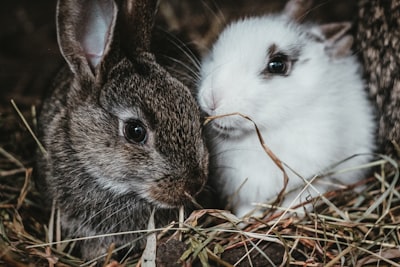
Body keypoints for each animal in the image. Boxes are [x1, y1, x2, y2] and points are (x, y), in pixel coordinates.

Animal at [198, 13, 376, 218]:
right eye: (215, 51)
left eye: (277, 65)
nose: (212, 98)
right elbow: (247, 207)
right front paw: (245, 219)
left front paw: (291, 212)